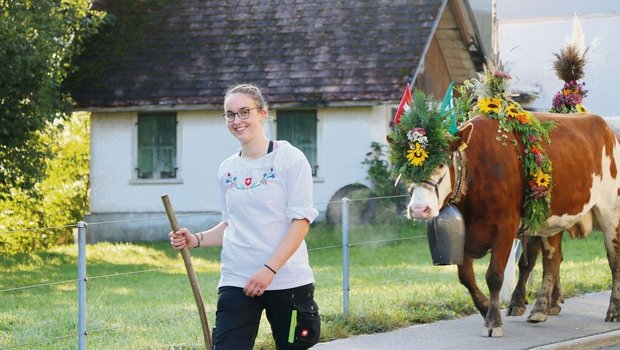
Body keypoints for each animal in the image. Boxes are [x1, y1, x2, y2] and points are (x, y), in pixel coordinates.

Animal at [406, 112, 620, 336]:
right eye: (406, 168)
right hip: (553, 220)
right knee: (552, 261)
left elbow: (494, 275)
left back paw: (613, 310)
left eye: (440, 164)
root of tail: (605, 126)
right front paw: (485, 308)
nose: (418, 209)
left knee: (614, 260)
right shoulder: (465, 233)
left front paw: (493, 322)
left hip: (611, 213)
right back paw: (540, 308)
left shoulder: (505, 227)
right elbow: (466, 277)